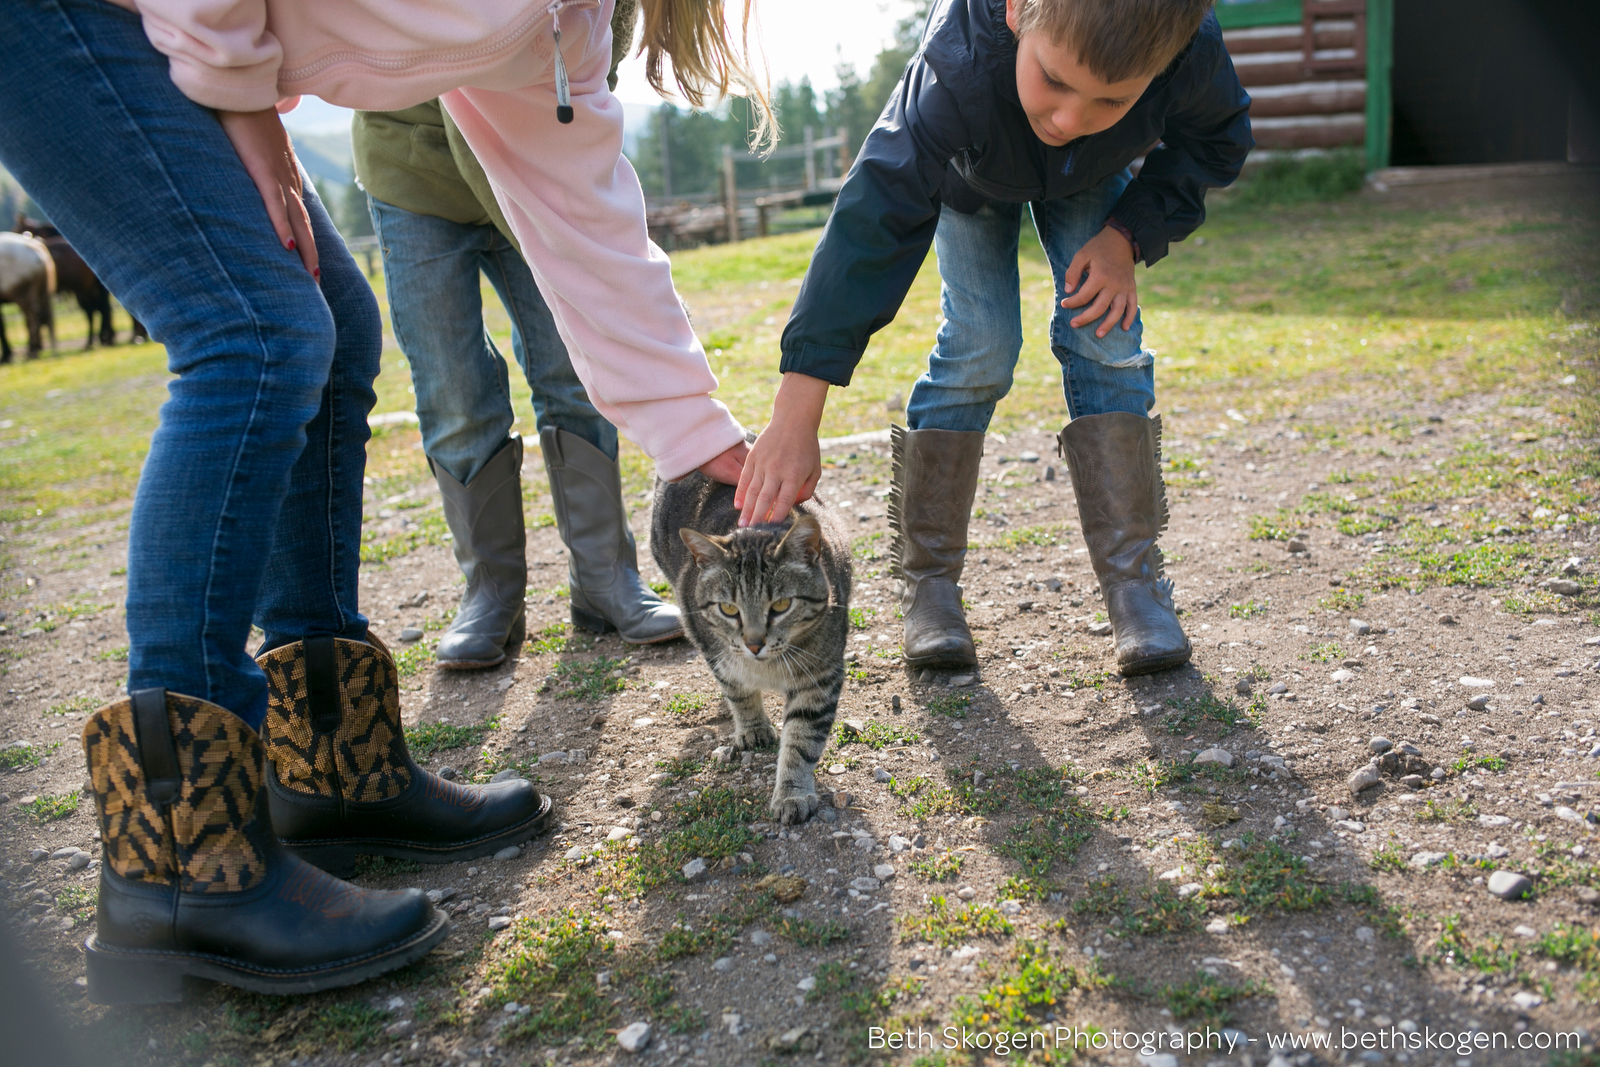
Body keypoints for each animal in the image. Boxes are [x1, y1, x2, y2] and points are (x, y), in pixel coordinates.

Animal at [0, 230, 56, 363]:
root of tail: (33, 245)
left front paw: (6, 355)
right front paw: (6, 354)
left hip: (22, 293)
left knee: (34, 318)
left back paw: (32, 351)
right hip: (41, 291)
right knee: (45, 316)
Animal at [649, 473, 851, 825]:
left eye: (781, 605)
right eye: (729, 609)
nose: (753, 643)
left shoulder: (820, 676)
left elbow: (802, 739)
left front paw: (792, 793)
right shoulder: (715, 653)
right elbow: (739, 693)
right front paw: (753, 727)